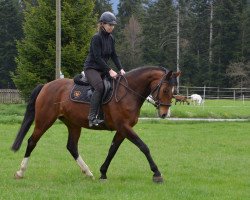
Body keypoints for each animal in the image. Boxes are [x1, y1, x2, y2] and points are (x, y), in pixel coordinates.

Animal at [11, 66, 180, 183]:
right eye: (165, 89)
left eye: (173, 91)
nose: (164, 114)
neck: (129, 92)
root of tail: (46, 86)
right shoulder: (124, 127)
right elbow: (143, 146)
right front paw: (157, 173)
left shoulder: (122, 129)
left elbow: (112, 150)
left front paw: (103, 173)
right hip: (44, 120)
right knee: (32, 141)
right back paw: (20, 172)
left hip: (73, 124)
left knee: (72, 147)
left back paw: (88, 172)